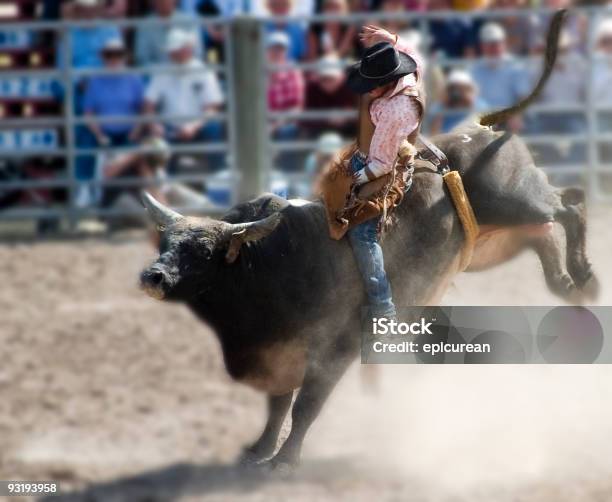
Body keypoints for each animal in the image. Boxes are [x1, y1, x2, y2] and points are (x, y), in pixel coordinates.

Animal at [139, 8, 596, 470]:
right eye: (164, 243)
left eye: (204, 250)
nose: (153, 277)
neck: (267, 265)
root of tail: (484, 128)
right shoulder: (279, 355)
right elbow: (278, 404)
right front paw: (260, 449)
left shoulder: (334, 351)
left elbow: (306, 405)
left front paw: (286, 458)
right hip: (496, 238)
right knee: (548, 233)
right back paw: (568, 286)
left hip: (519, 199)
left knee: (570, 205)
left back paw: (585, 276)